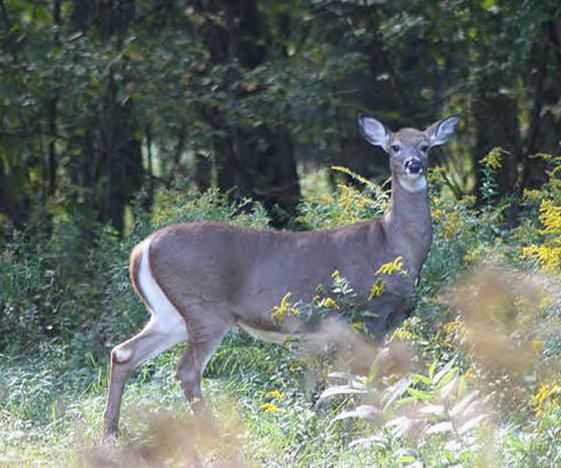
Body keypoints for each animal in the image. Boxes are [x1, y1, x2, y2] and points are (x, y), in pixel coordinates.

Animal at [103, 114, 458, 438]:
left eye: (426, 146)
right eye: (394, 146)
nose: (414, 164)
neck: (394, 243)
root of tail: (142, 250)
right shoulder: (370, 312)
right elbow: (369, 374)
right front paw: (376, 417)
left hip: (170, 314)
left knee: (123, 352)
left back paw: (111, 432)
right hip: (204, 309)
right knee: (186, 371)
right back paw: (212, 432)